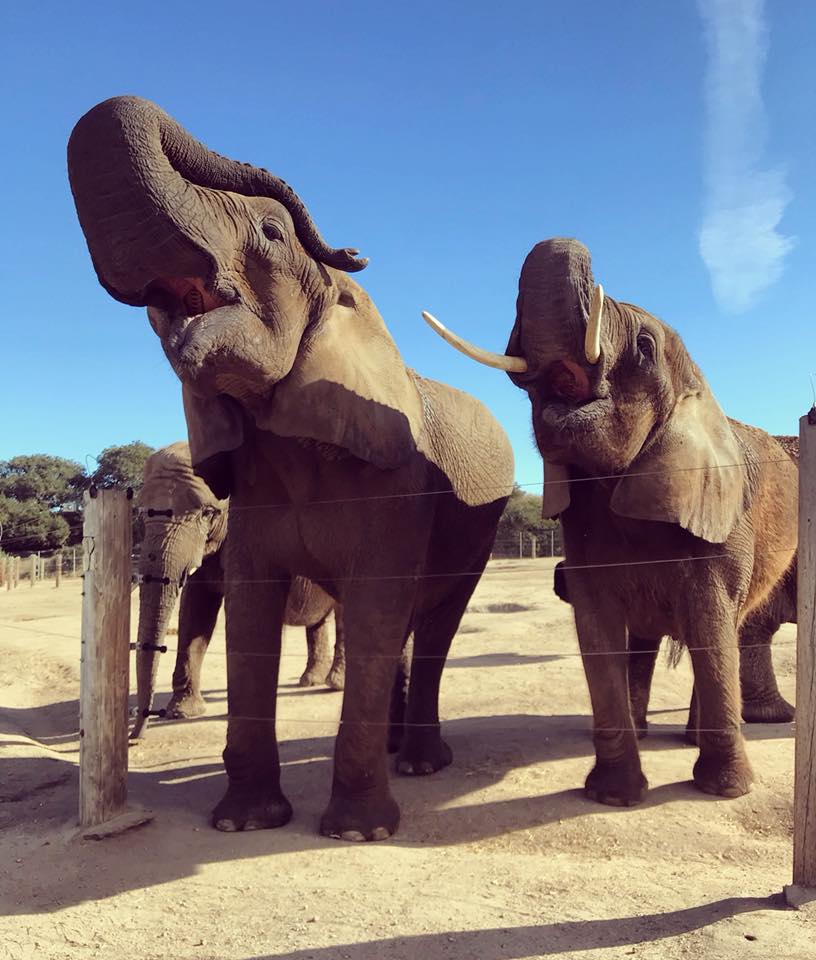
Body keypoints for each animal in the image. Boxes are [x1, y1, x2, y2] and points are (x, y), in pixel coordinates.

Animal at [130, 438, 344, 740]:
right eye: (142, 514)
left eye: (207, 513)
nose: (135, 736)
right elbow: (194, 611)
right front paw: (183, 712)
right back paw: (309, 681)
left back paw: (334, 684)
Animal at [420, 238, 796, 804]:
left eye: (643, 345)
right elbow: (595, 622)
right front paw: (613, 796)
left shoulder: (722, 523)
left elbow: (711, 623)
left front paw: (725, 791)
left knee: (726, 630)